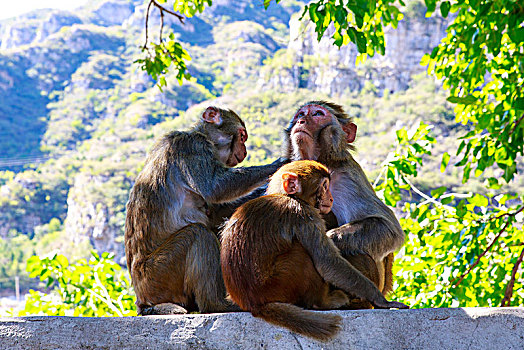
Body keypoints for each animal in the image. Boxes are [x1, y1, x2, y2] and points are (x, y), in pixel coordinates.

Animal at [125, 106, 284, 314]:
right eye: (242, 136)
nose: (245, 151)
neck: (203, 136)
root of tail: (141, 299)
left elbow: (215, 212)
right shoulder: (193, 147)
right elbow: (216, 188)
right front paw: (279, 164)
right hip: (157, 276)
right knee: (199, 234)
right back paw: (217, 304)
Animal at [219, 161, 408, 342]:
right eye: (324, 186)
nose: (331, 198)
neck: (287, 196)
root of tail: (253, 304)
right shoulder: (304, 214)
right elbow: (327, 262)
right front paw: (381, 300)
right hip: (278, 286)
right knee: (301, 254)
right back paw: (324, 302)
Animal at [284, 101, 408, 298]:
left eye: (318, 114)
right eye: (300, 114)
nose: (301, 121)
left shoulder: (349, 178)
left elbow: (389, 228)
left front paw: (328, 239)